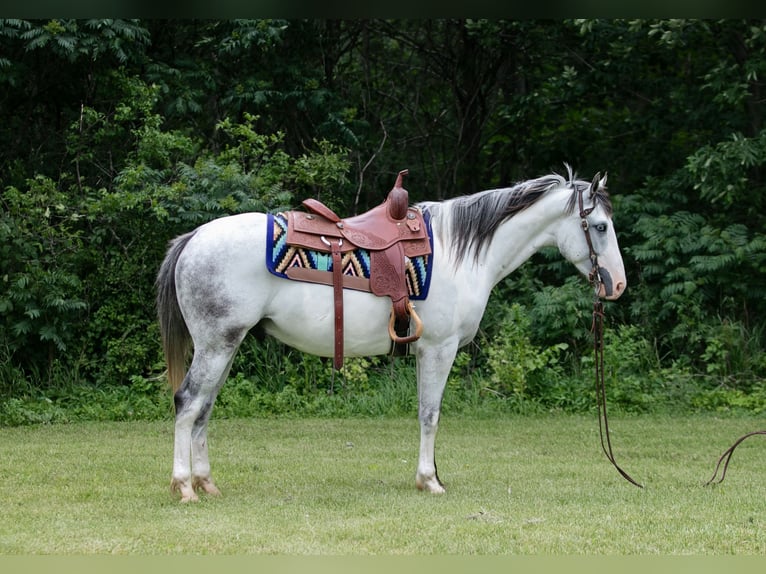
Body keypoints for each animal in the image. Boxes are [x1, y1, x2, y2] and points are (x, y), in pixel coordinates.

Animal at [158, 164, 632, 502]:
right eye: (601, 227)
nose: (617, 285)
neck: (462, 253)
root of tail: (194, 237)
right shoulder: (438, 349)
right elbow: (430, 414)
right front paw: (430, 480)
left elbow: (425, 412)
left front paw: (430, 475)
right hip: (217, 345)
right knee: (188, 403)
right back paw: (184, 486)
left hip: (226, 346)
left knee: (204, 409)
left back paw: (206, 483)